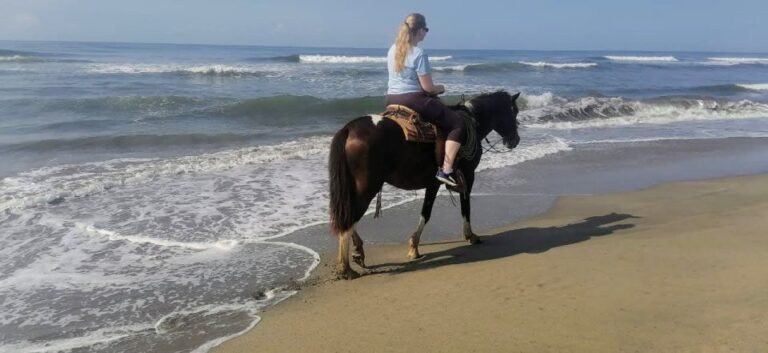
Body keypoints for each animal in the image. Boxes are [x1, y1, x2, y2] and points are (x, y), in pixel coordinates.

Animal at [328, 90, 520, 278]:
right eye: (514, 112)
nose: (515, 140)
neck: (472, 123)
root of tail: (350, 128)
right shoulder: (467, 176)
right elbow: (461, 208)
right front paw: (470, 236)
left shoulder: (432, 183)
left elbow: (426, 212)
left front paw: (414, 246)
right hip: (367, 187)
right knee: (350, 217)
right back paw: (345, 267)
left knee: (347, 215)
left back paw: (357, 252)